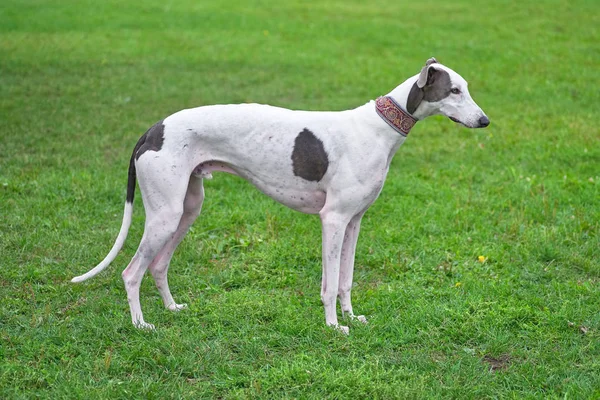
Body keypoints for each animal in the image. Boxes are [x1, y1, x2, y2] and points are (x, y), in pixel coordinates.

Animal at [72, 55, 490, 332]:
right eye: (453, 90)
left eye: (467, 88)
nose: (485, 120)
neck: (378, 129)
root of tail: (152, 129)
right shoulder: (333, 220)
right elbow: (328, 282)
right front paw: (334, 326)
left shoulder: (355, 221)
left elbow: (346, 279)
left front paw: (352, 317)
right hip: (164, 215)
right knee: (131, 272)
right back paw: (141, 325)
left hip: (187, 209)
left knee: (158, 265)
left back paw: (173, 308)